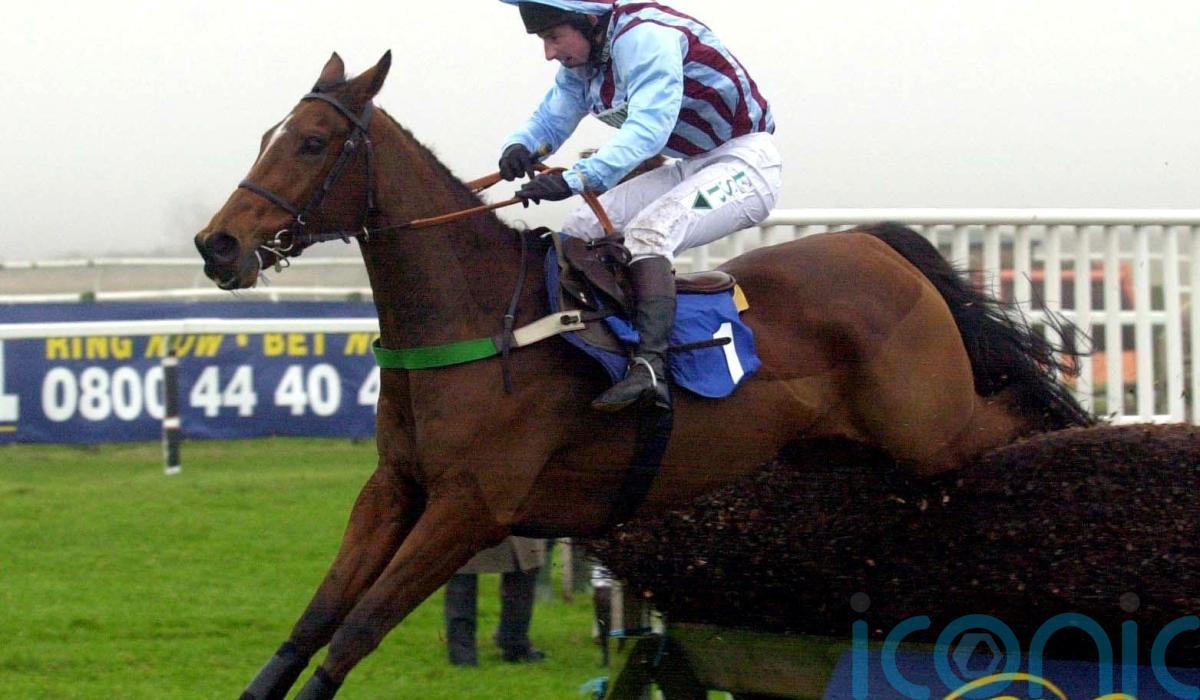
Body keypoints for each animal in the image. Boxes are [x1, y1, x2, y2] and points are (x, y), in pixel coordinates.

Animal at [194, 51, 1094, 699]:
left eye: (313, 142)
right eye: (267, 137)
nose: (217, 244)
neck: (479, 320)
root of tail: (878, 246)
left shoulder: (472, 507)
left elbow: (354, 633)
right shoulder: (395, 489)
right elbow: (313, 623)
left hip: (932, 428)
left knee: (1018, 416)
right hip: (851, 448)